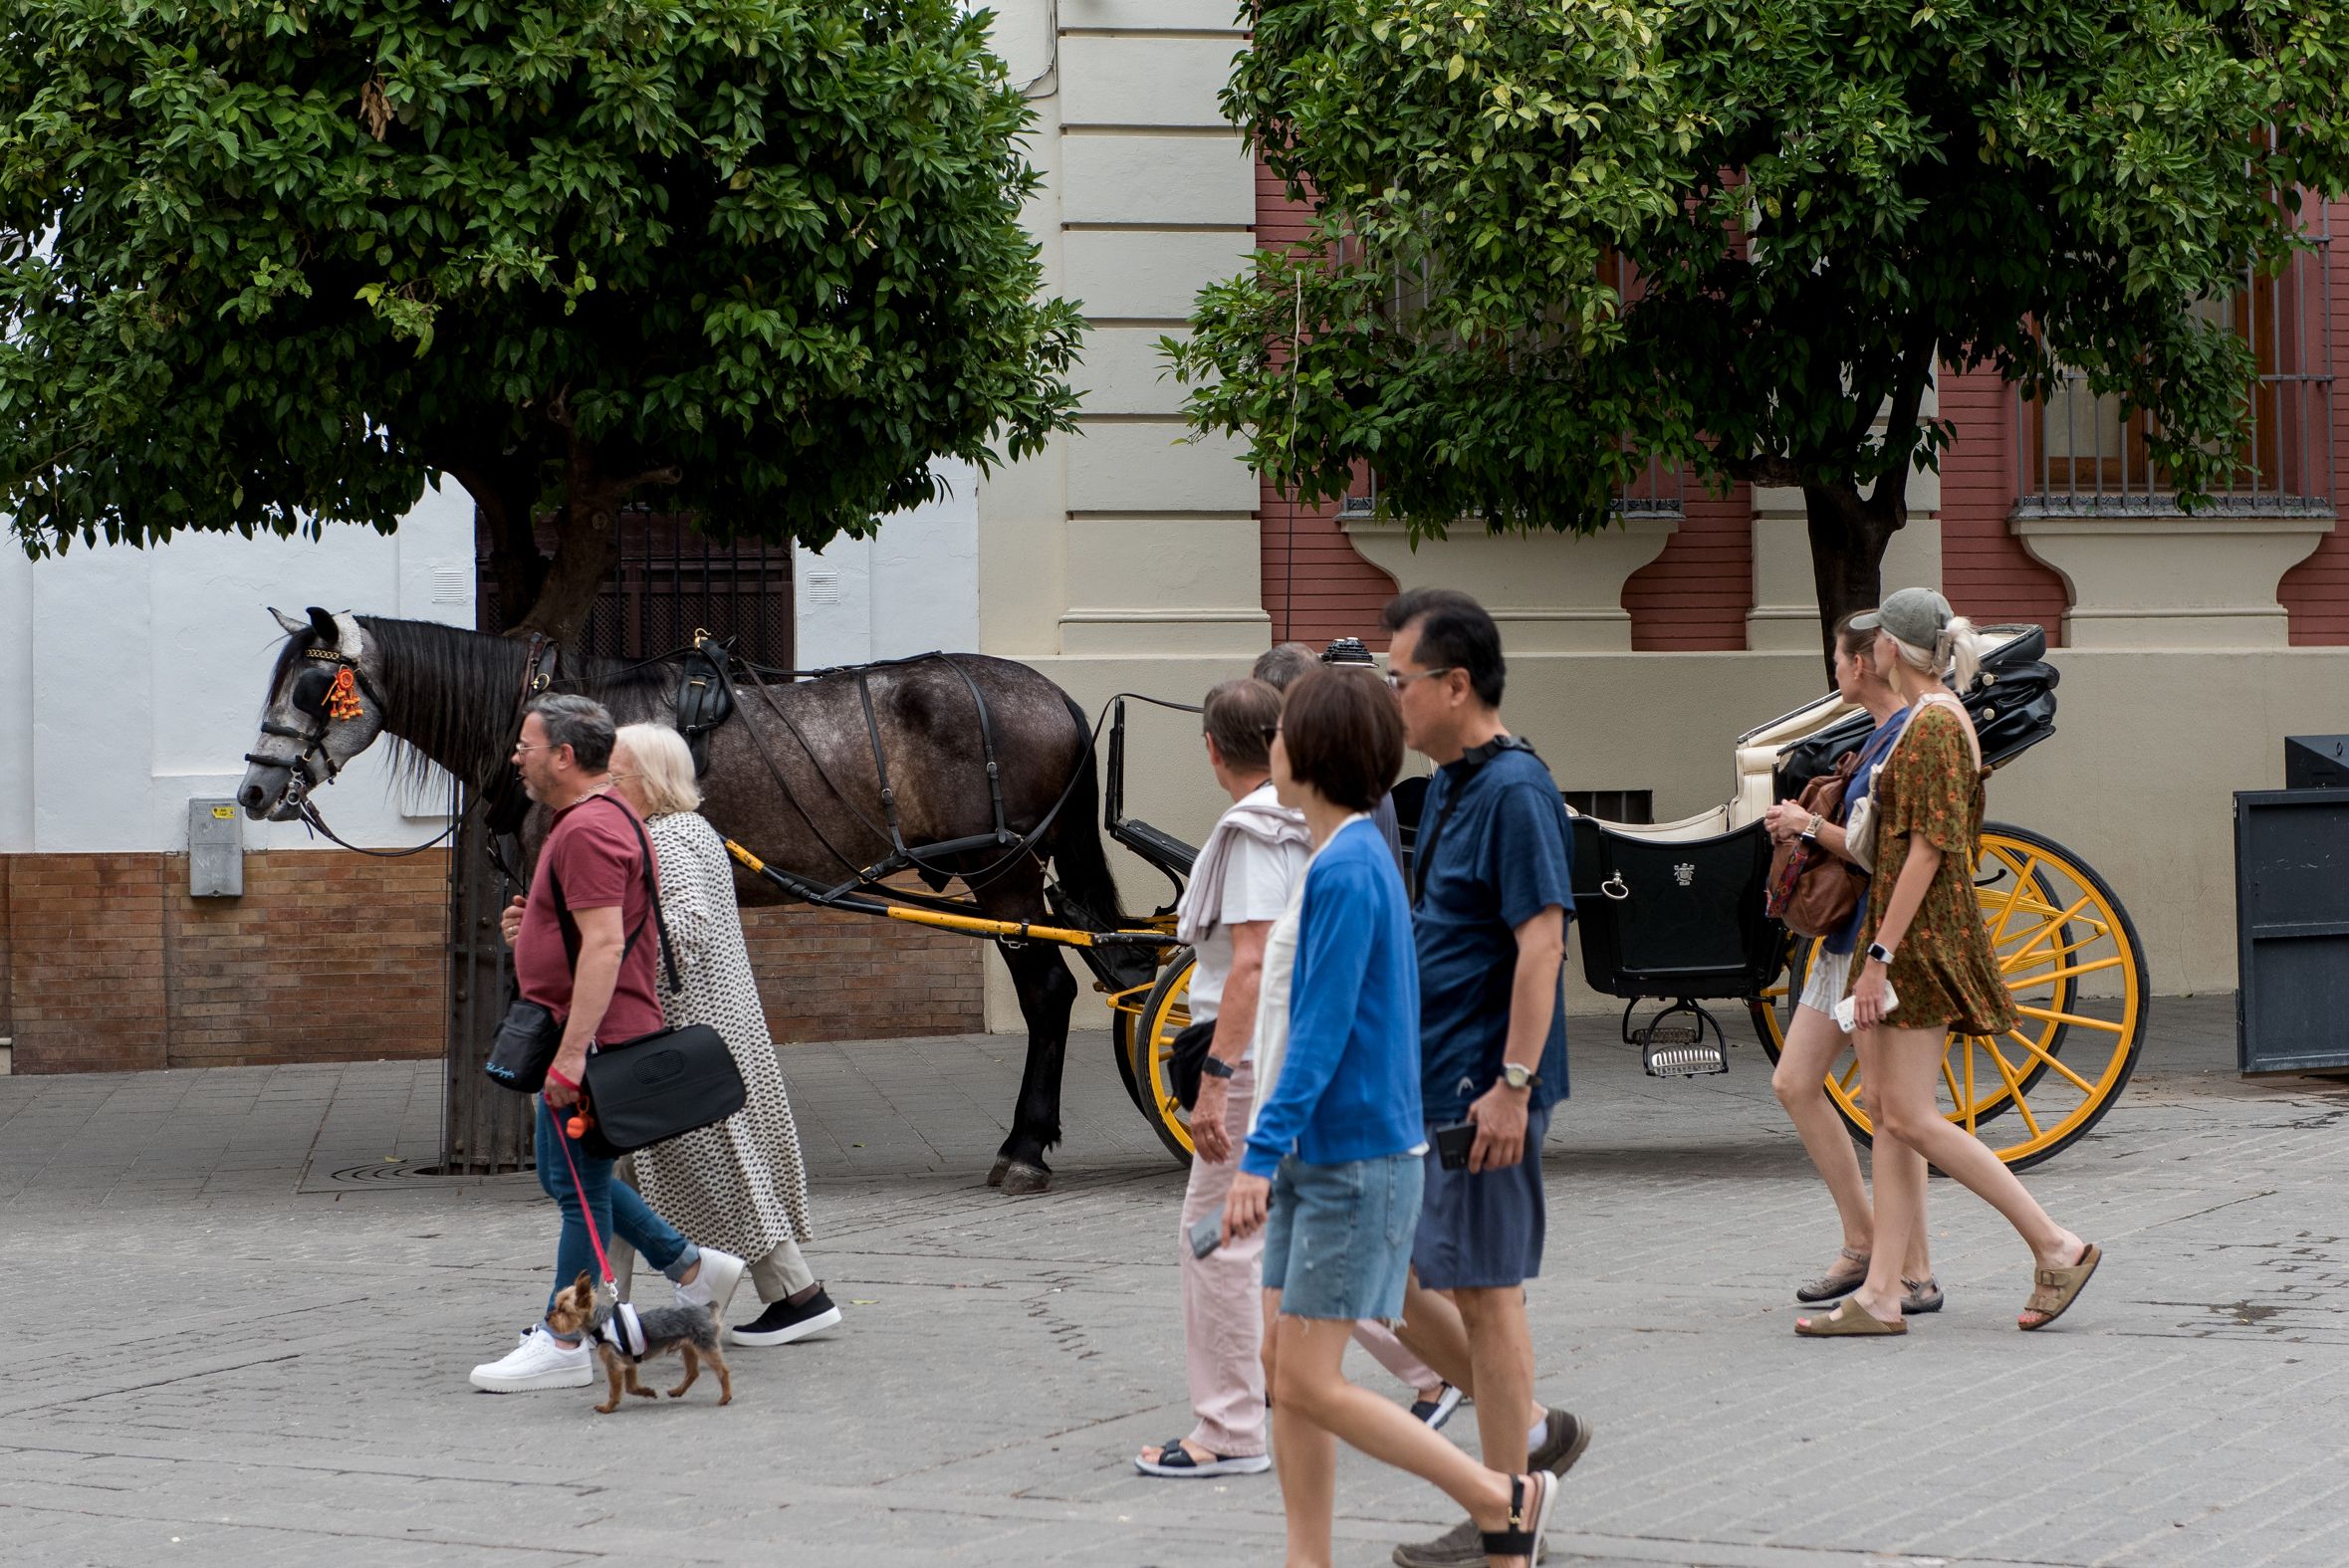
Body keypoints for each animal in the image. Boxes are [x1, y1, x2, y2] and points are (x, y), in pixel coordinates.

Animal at [235, 606, 1146, 1194]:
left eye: (310, 688)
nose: (253, 788)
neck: (540, 716)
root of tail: (1056, 695)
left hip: (1002, 873)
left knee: (1049, 992)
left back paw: (1024, 1145)